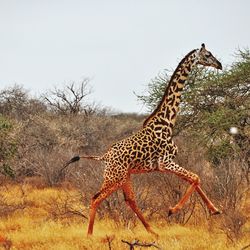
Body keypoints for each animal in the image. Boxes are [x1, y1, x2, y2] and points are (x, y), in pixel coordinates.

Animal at [67, 43, 223, 236]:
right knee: (96, 198)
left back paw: (152, 231)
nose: (219, 65)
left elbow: (194, 179)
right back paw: (89, 235)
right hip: (114, 177)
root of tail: (104, 157)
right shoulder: (165, 163)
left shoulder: (166, 164)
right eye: (208, 55)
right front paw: (172, 210)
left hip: (124, 177)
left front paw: (215, 210)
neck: (168, 121)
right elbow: (195, 177)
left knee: (129, 200)